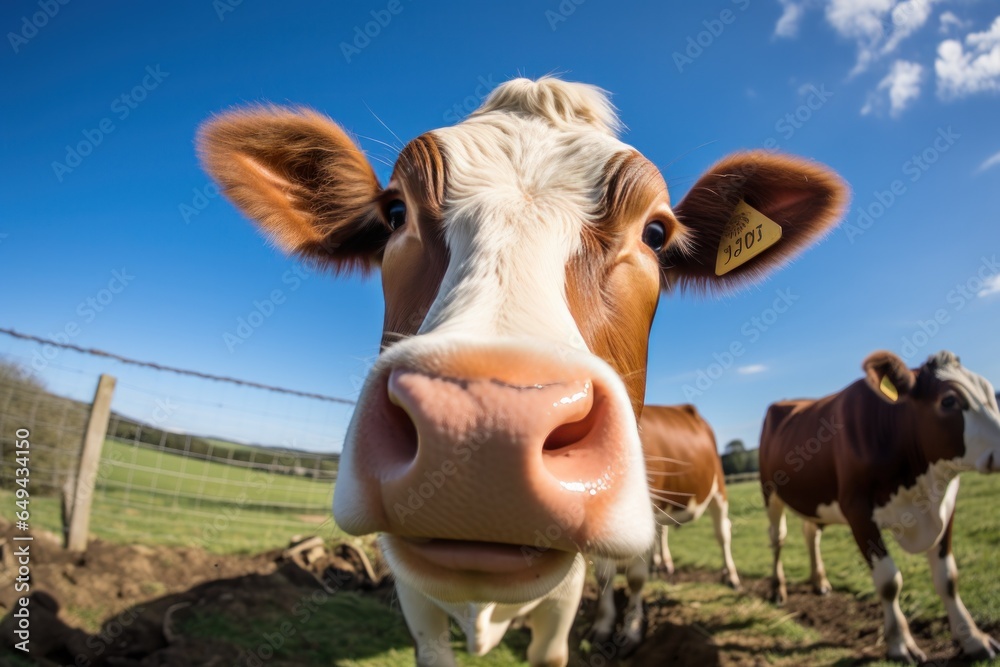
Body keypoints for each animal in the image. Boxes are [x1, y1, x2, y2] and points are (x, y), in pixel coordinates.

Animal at [588, 404, 740, 648]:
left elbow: (636, 578)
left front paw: (631, 629)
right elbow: (603, 576)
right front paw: (602, 625)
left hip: (718, 488)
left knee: (723, 533)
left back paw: (732, 576)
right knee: (663, 532)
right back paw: (663, 564)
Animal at [760, 350, 996, 664]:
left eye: (990, 393)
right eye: (949, 401)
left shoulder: (947, 506)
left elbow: (948, 578)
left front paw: (973, 639)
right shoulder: (858, 512)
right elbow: (889, 582)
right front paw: (900, 644)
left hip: (813, 497)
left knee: (811, 534)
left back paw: (819, 582)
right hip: (771, 493)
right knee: (778, 538)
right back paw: (778, 590)